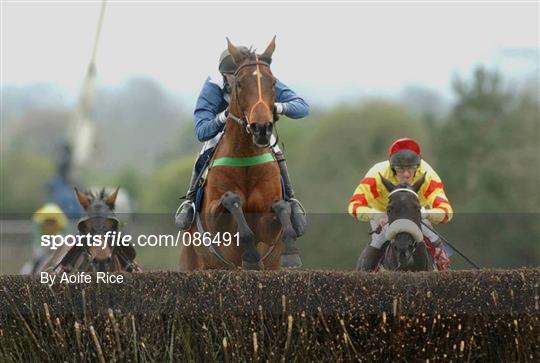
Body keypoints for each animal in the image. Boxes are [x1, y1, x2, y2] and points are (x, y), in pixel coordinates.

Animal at [180, 37, 300, 270]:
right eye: (240, 83)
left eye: (273, 82)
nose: (261, 128)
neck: (245, 157)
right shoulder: (214, 221)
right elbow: (231, 201)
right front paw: (251, 255)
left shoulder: (267, 227)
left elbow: (280, 207)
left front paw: (291, 250)